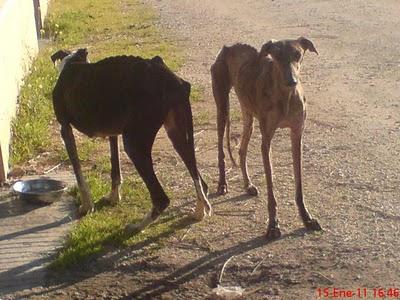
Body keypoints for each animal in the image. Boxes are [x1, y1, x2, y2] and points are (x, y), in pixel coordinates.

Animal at [52, 49, 212, 232]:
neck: (73, 61)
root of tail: (174, 80)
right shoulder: (113, 133)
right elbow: (115, 169)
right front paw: (114, 197)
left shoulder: (65, 130)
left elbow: (79, 175)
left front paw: (87, 206)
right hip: (178, 135)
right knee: (200, 181)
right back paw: (199, 212)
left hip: (134, 143)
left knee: (161, 199)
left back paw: (138, 226)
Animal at [212, 38, 322, 239]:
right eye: (276, 55)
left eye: (298, 54)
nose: (291, 81)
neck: (286, 97)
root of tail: (229, 47)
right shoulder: (266, 141)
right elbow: (271, 188)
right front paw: (273, 225)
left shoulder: (297, 136)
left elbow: (299, 185)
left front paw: (307, 218)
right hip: (222, 106)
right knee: (221, 150)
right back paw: (222, 184)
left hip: (248, 116)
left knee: (242, 150)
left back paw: (248, 184)